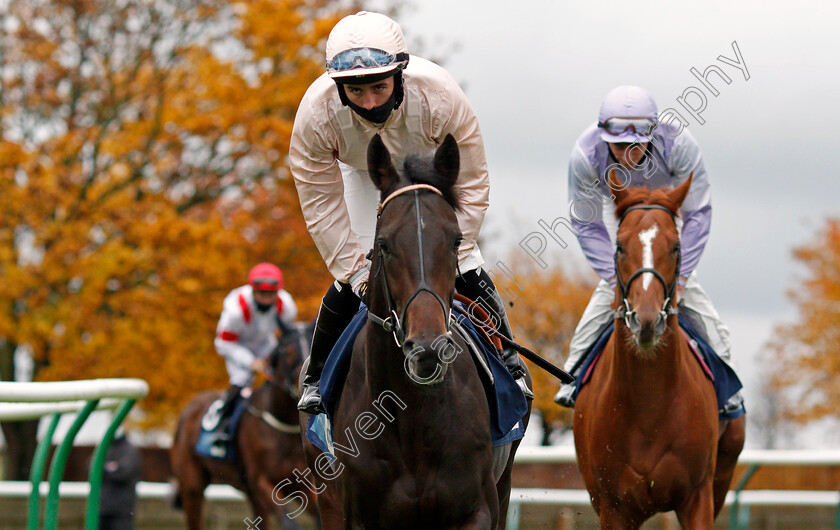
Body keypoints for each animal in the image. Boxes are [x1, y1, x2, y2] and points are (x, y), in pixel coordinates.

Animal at [169, 320, 320, 524]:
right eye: (288, 352)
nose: (304, 385)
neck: (280, 426)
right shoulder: (260, 482)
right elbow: (289, 523)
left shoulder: (300, 483)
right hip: (192, 485)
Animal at [298, 135, 528, 528]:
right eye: (384, 245)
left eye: (455, 240)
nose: (427, 349)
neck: (411, 418)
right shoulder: (355, 516)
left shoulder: (479, 509)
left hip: (505, 479)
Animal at [576, 177, 744, 528]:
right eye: (620, 246)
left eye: (676, 247)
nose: (647, 319)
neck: (649, 404)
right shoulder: (614, 506)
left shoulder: (698, 497)